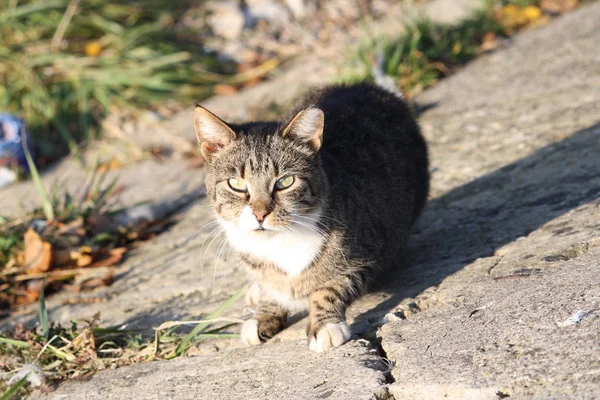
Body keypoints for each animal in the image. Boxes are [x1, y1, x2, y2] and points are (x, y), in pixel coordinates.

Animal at [192, 83, 426, 352]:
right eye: (236, 184)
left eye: (285, 181)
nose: (260, 213)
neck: (278, 243)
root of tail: (366, 86)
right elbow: (271, 288)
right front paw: (263, 312)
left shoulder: (369, 254)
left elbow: (330, 288)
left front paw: (324, 324)